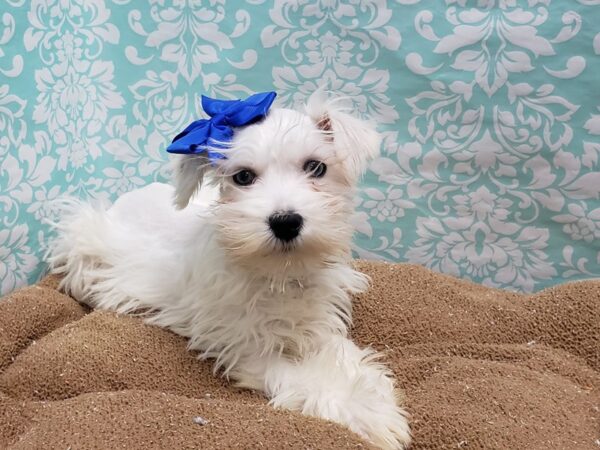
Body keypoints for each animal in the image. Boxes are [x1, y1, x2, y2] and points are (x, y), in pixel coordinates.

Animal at [48, 91, 412, 450]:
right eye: (243, 177)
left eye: (316, 167)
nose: (286, 222)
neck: (277, 274)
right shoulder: (246, 346)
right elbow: (301, 376)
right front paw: (363, 412)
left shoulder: (317, 322)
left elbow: (343, 352)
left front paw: (373, 389)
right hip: (85, 238)